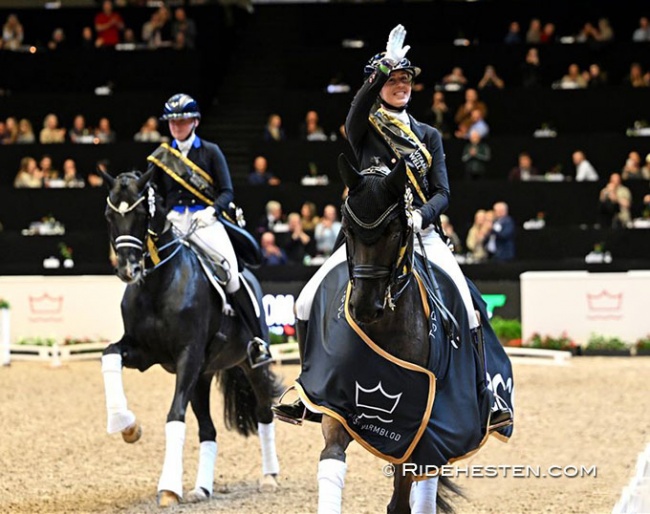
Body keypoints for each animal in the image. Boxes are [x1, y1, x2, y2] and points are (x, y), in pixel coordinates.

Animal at [99, 169, 280, 504]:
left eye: (142, 214)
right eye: (109, 215)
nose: (128, 269)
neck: (158, 283)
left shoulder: (188, 356)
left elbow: (174, 415)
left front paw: (169, 488)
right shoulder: (142, 352)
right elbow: (109, 355)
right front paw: (126, 425)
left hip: (250, 365)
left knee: (263, 412)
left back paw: (270, 478)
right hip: (202, 376)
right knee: (208, 430)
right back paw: (201, 488)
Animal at [292, 156, 512, 512]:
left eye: (395, 230)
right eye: (347, 230)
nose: (364, 307)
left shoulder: (420, 426)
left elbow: (401, 499)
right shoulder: (336, 402)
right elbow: (332, 458)